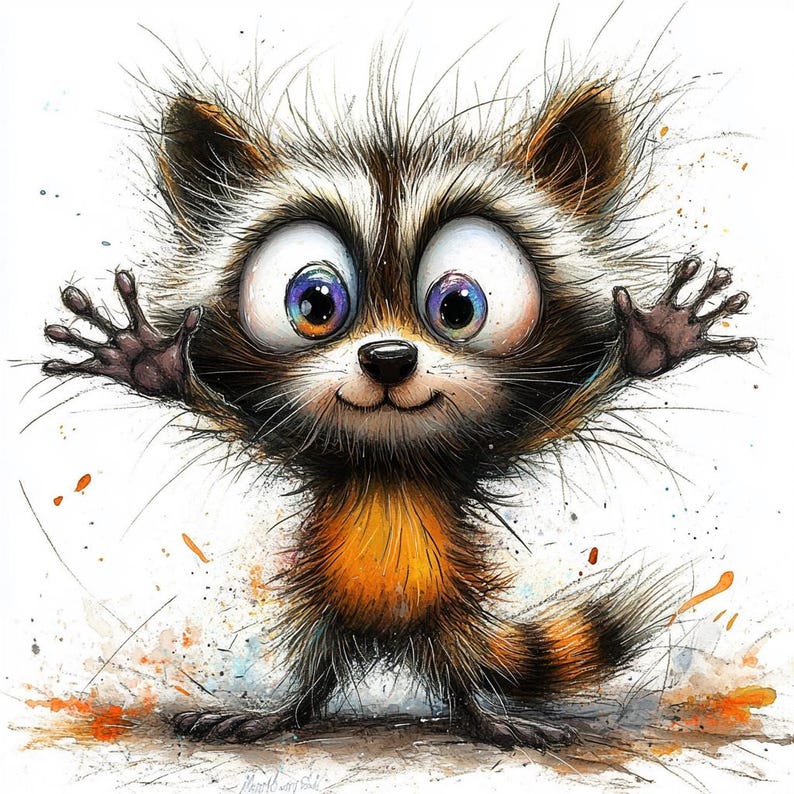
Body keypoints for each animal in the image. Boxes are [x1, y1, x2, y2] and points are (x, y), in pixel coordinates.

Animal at [42, 60, 755, 748]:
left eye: (460, 306)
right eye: (315, 303)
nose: (388, 358)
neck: (391, 459)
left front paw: (649, 345)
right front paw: (152, 361)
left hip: (451, 616)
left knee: (459, 667)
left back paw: (480, 716)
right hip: (326, 609)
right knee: (317, 662)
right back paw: (287, 712)